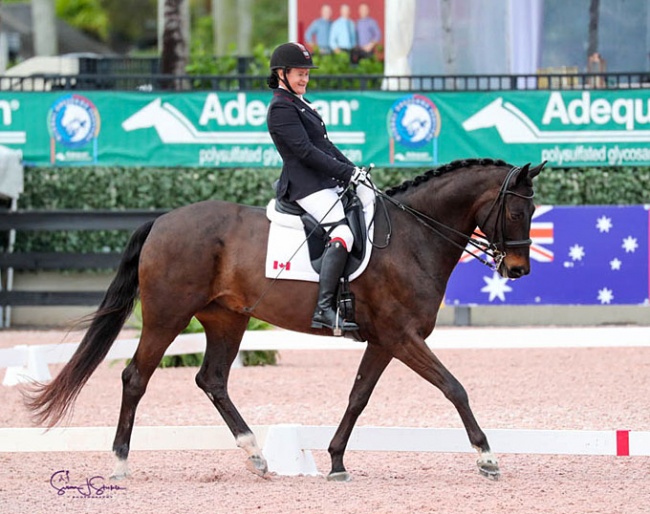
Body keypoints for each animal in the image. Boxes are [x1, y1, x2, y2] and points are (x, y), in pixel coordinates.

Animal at [24, 157, 540, 480]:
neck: (413, 236)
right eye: (517, 210)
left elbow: (358, 398)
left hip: (227, 319)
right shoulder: (402, 336)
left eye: (534, 210)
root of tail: (162, 221)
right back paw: (120, 463)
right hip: (167, 316)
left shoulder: (384, 341)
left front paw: (336, 462)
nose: (518, 270)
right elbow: (454, 387)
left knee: (212, 379)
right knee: (135, 377)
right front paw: (487, 458)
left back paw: (255, 455)